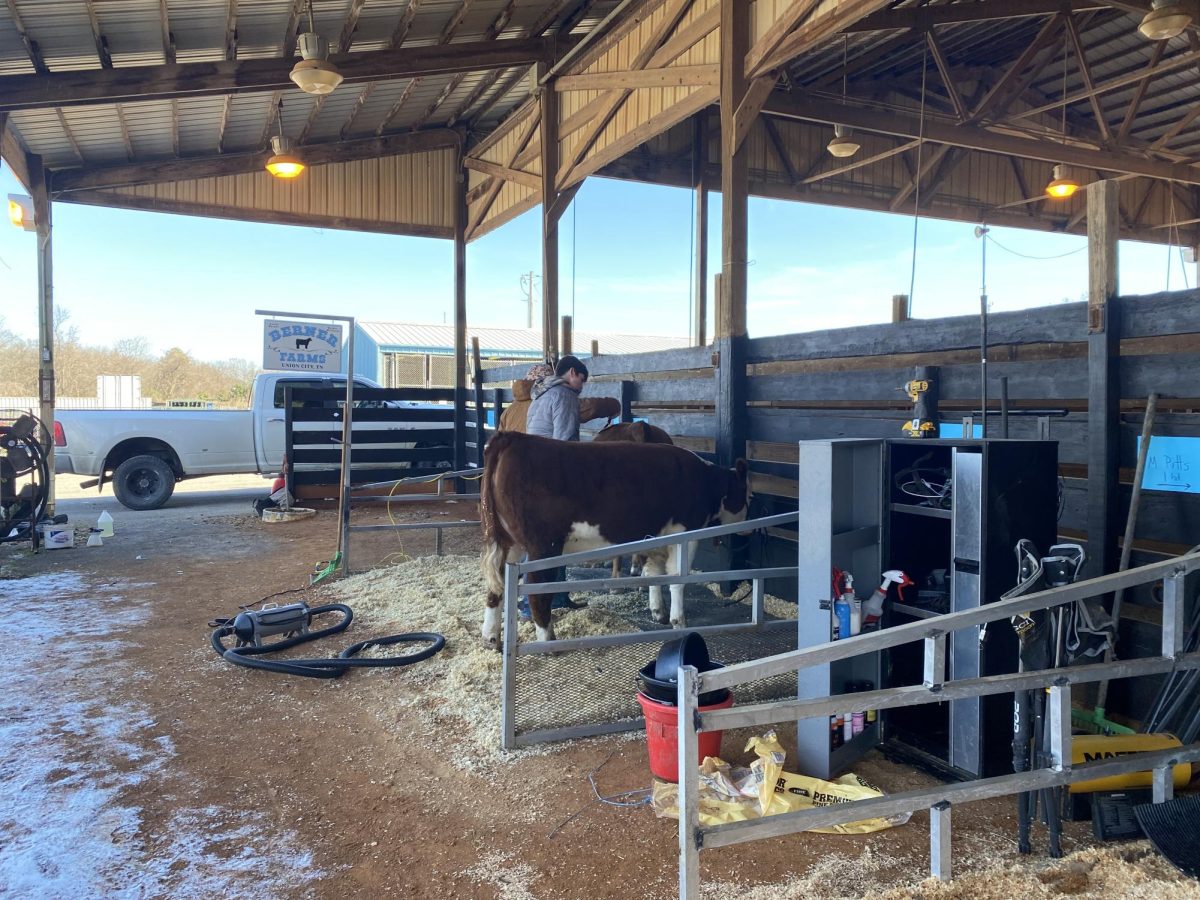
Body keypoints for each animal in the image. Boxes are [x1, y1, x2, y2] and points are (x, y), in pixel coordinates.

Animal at [480, 434, 748, 643]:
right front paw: (679, 622)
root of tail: (512, 437)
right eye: (747, 494)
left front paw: (658, 612)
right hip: (543, 546)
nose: (748, 528)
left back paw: (491, 638)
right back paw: (548, 639)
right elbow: (677, 578)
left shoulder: (656, 537)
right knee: (537, 591)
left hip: (509, 543)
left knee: (496, 587)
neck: (706, 482)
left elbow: (655, 574)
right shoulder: (685, 535)